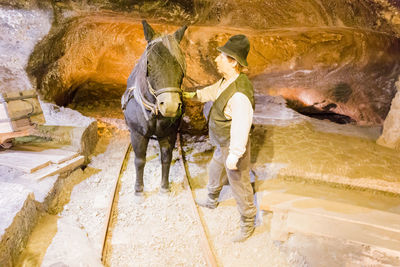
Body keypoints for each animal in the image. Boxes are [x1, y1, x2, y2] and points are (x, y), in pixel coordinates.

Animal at [122, 21, 188, 196]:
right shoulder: (138, 134)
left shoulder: (169, 133)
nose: (170, 106)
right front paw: (139, 189)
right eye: (149, 64)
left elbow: (166, 158)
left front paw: (164, 187)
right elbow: (139, 160)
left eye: (181, 64)